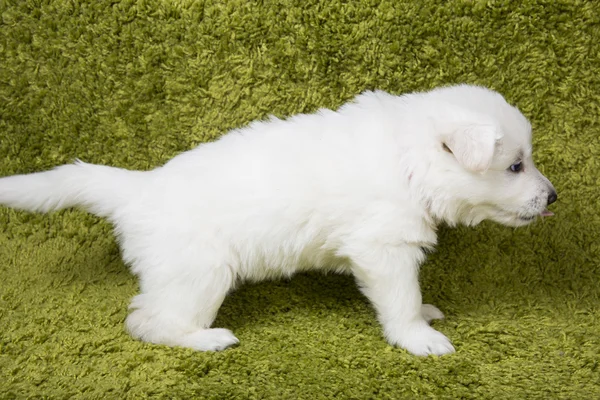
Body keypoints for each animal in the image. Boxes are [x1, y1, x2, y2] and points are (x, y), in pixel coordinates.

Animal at [0, 85, 556, 356]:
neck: (410, 161)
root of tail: (140, 189)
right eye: (515, 166)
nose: (553, 197)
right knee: (147, 321)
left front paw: (425, 315)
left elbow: (412, 298)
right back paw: (205, 340)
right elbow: (401, 300)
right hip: (197, 275)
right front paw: (418, 337)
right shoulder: (385, 249)